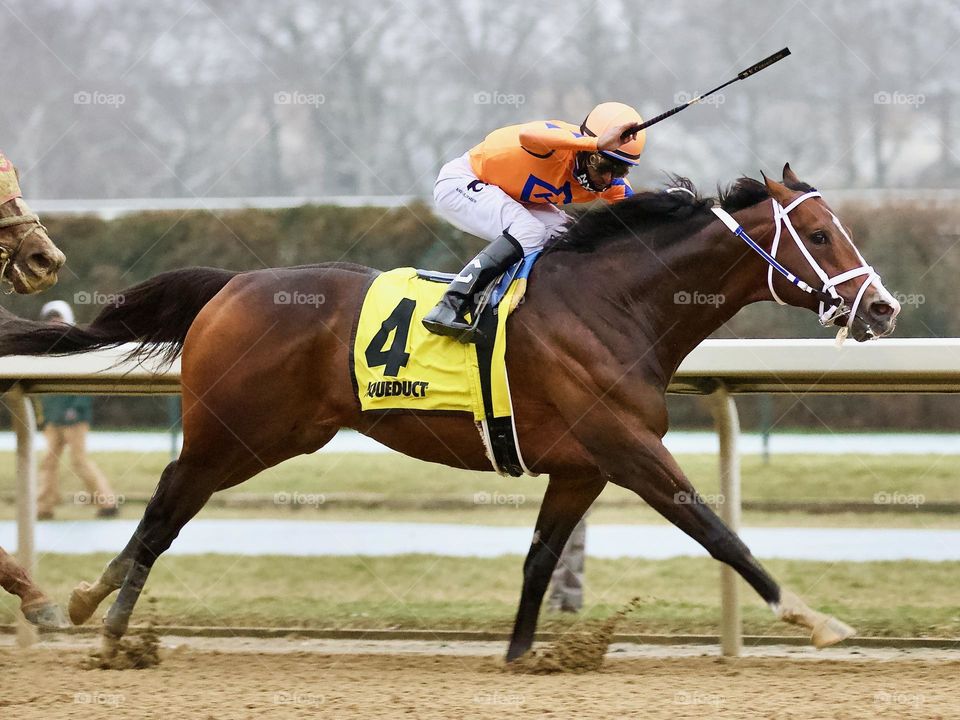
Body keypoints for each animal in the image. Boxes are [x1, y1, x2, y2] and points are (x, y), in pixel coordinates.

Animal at [0, 165, 900, 660]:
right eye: (820, 234)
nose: (884, 308)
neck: (615, 303)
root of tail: (232, 282)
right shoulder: (628, 447)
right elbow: (717, 530)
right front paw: (816, 620)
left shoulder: (581, 464)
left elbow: (541, 560)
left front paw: (521, 654)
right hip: (235, 430)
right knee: (164, 504)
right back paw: (99, 619)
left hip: (271, 435)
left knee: (172, 503)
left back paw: (91, 607)